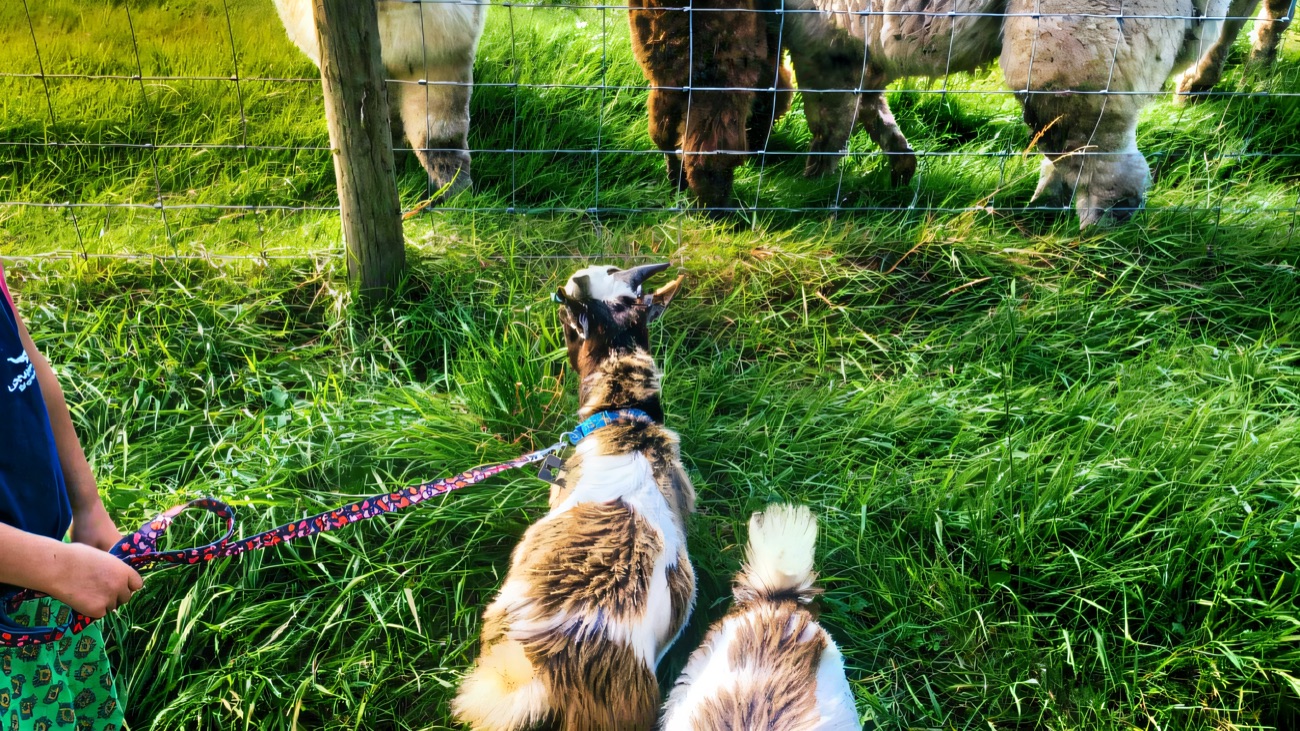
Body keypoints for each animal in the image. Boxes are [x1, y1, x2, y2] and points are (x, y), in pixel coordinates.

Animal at [627, 0, 794, 210]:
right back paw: (714, 208)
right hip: (725, 63)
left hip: (664, 60)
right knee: (711, 148)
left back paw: (678, 184)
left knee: (664, 131)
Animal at [781, 0, 1230, 227]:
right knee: (1073, 154)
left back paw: (1090, 241)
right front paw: (900, 165)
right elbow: (865, 101)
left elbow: (828, 120)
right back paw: (1043, 207)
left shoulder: (818, 37)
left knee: (1105, 169)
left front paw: (814, 188)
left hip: (1073, 52)